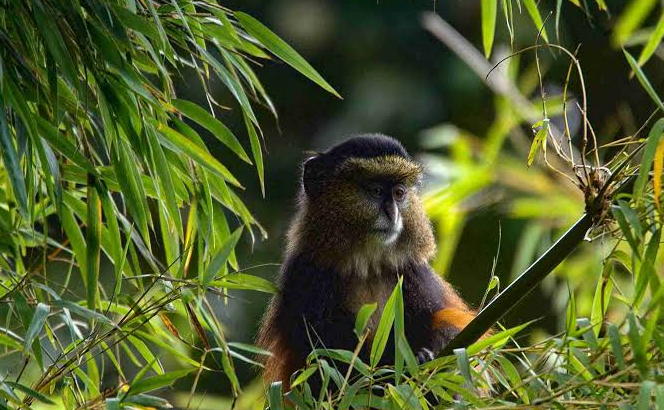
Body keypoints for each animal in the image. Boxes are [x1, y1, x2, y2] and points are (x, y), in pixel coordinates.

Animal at [256, 134, 482, 391]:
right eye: (375, 190)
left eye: (399, 193)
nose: (393, 213)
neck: (367, 265)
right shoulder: (306, 276)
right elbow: (327, 361)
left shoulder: (414, 272)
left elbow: (449, 321)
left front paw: (430, 354)